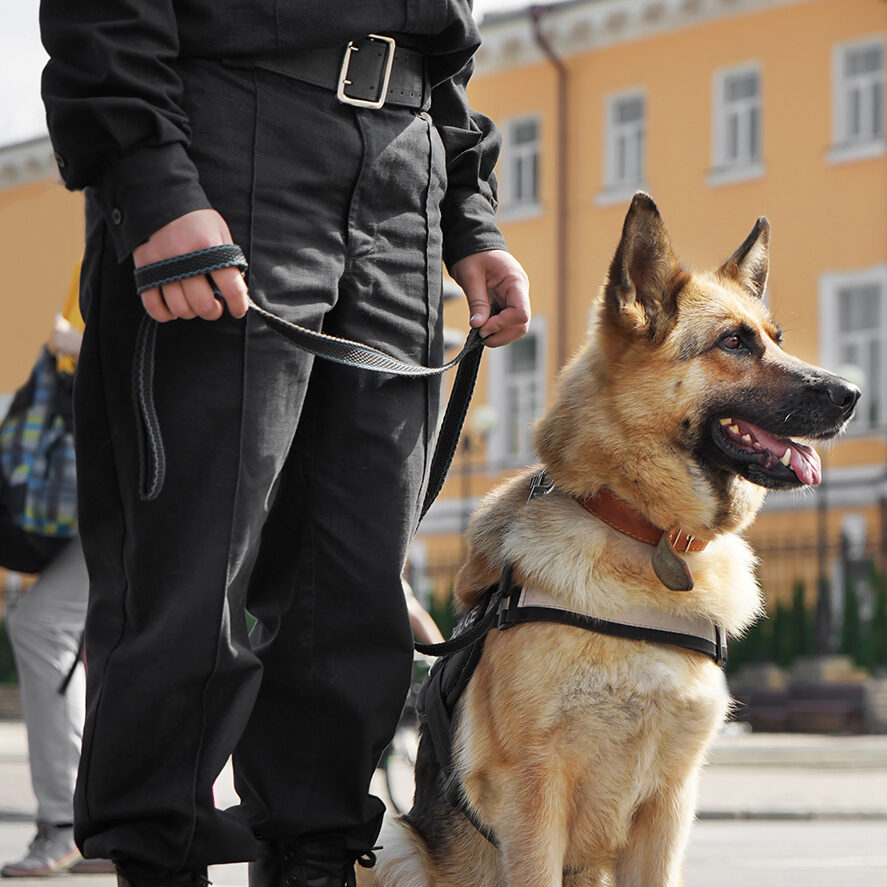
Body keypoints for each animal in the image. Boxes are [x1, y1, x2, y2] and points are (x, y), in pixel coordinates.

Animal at [360, 194, 860, 887]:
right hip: (391, 837)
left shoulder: (670, 807)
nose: (855, 394)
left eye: (774, 340)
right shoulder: (534, 797)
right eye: (734, 342)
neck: (643, 532)